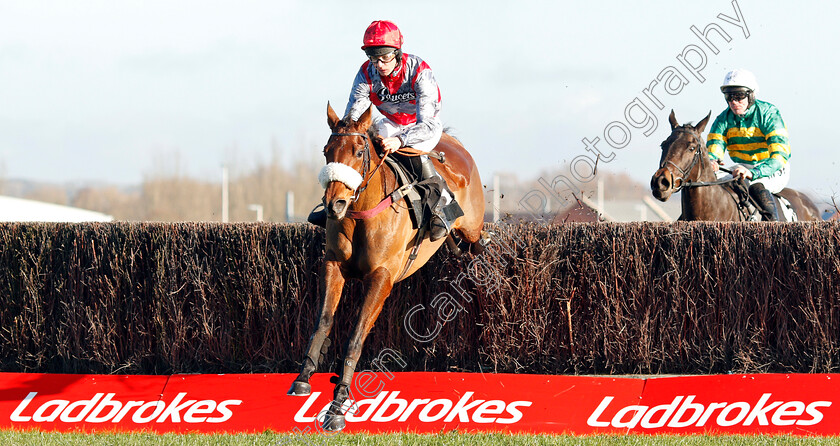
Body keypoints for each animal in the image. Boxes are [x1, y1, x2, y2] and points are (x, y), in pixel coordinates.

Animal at [288, 103, 486, 430]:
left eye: (358, 151)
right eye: (327, 151)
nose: (334, 205)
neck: (360, 213)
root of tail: (454, 143)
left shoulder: (381, 278)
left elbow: (355, 340)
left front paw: (337, 407)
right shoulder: (333, 265)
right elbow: (323, 321)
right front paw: (303, 377)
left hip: (472, 227)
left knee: (478, 246)